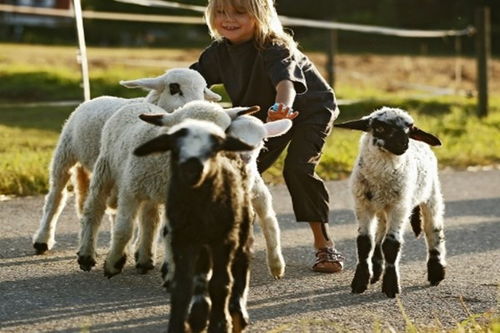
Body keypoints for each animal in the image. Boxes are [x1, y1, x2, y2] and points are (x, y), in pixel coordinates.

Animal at [30, 68, 219, 254]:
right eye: (174, 88)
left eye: (203, 90)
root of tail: (95, 98)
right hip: (66, 154)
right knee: (56, 198)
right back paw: (43, 239)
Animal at [77, 99, 258, 274]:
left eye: (225, 131)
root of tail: (136, 102)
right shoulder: (130, 191)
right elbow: (124, 229)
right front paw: (113, 263)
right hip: (105, 168)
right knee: (94, 209)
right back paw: (86, 256)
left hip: (152, 193)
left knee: (150, 220)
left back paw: (144, 259)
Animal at [134, 118, 256, 330]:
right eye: (174, 147)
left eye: (213, 148)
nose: (192, 168)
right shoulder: (182, 239)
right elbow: (183, 286)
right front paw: (180, 323)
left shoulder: (223, 240)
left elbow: (220, 283)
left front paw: (220, 324)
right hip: (200, 242)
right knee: (201, 274)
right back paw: (199, 313)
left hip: (240, 226)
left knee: (241, 263)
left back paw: (237, 310)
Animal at [336, 107, 446, 298]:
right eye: (379, 128)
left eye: (410, 129)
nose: (404, 144)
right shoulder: (363, 205)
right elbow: (365, 243)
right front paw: (360, 282)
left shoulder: (399, 207)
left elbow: (391, 245)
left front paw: (391, 286)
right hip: (381, 209)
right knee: (379, 234)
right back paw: (376, 269)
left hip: (431, 194)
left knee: (433, 229)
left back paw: (436, 272)